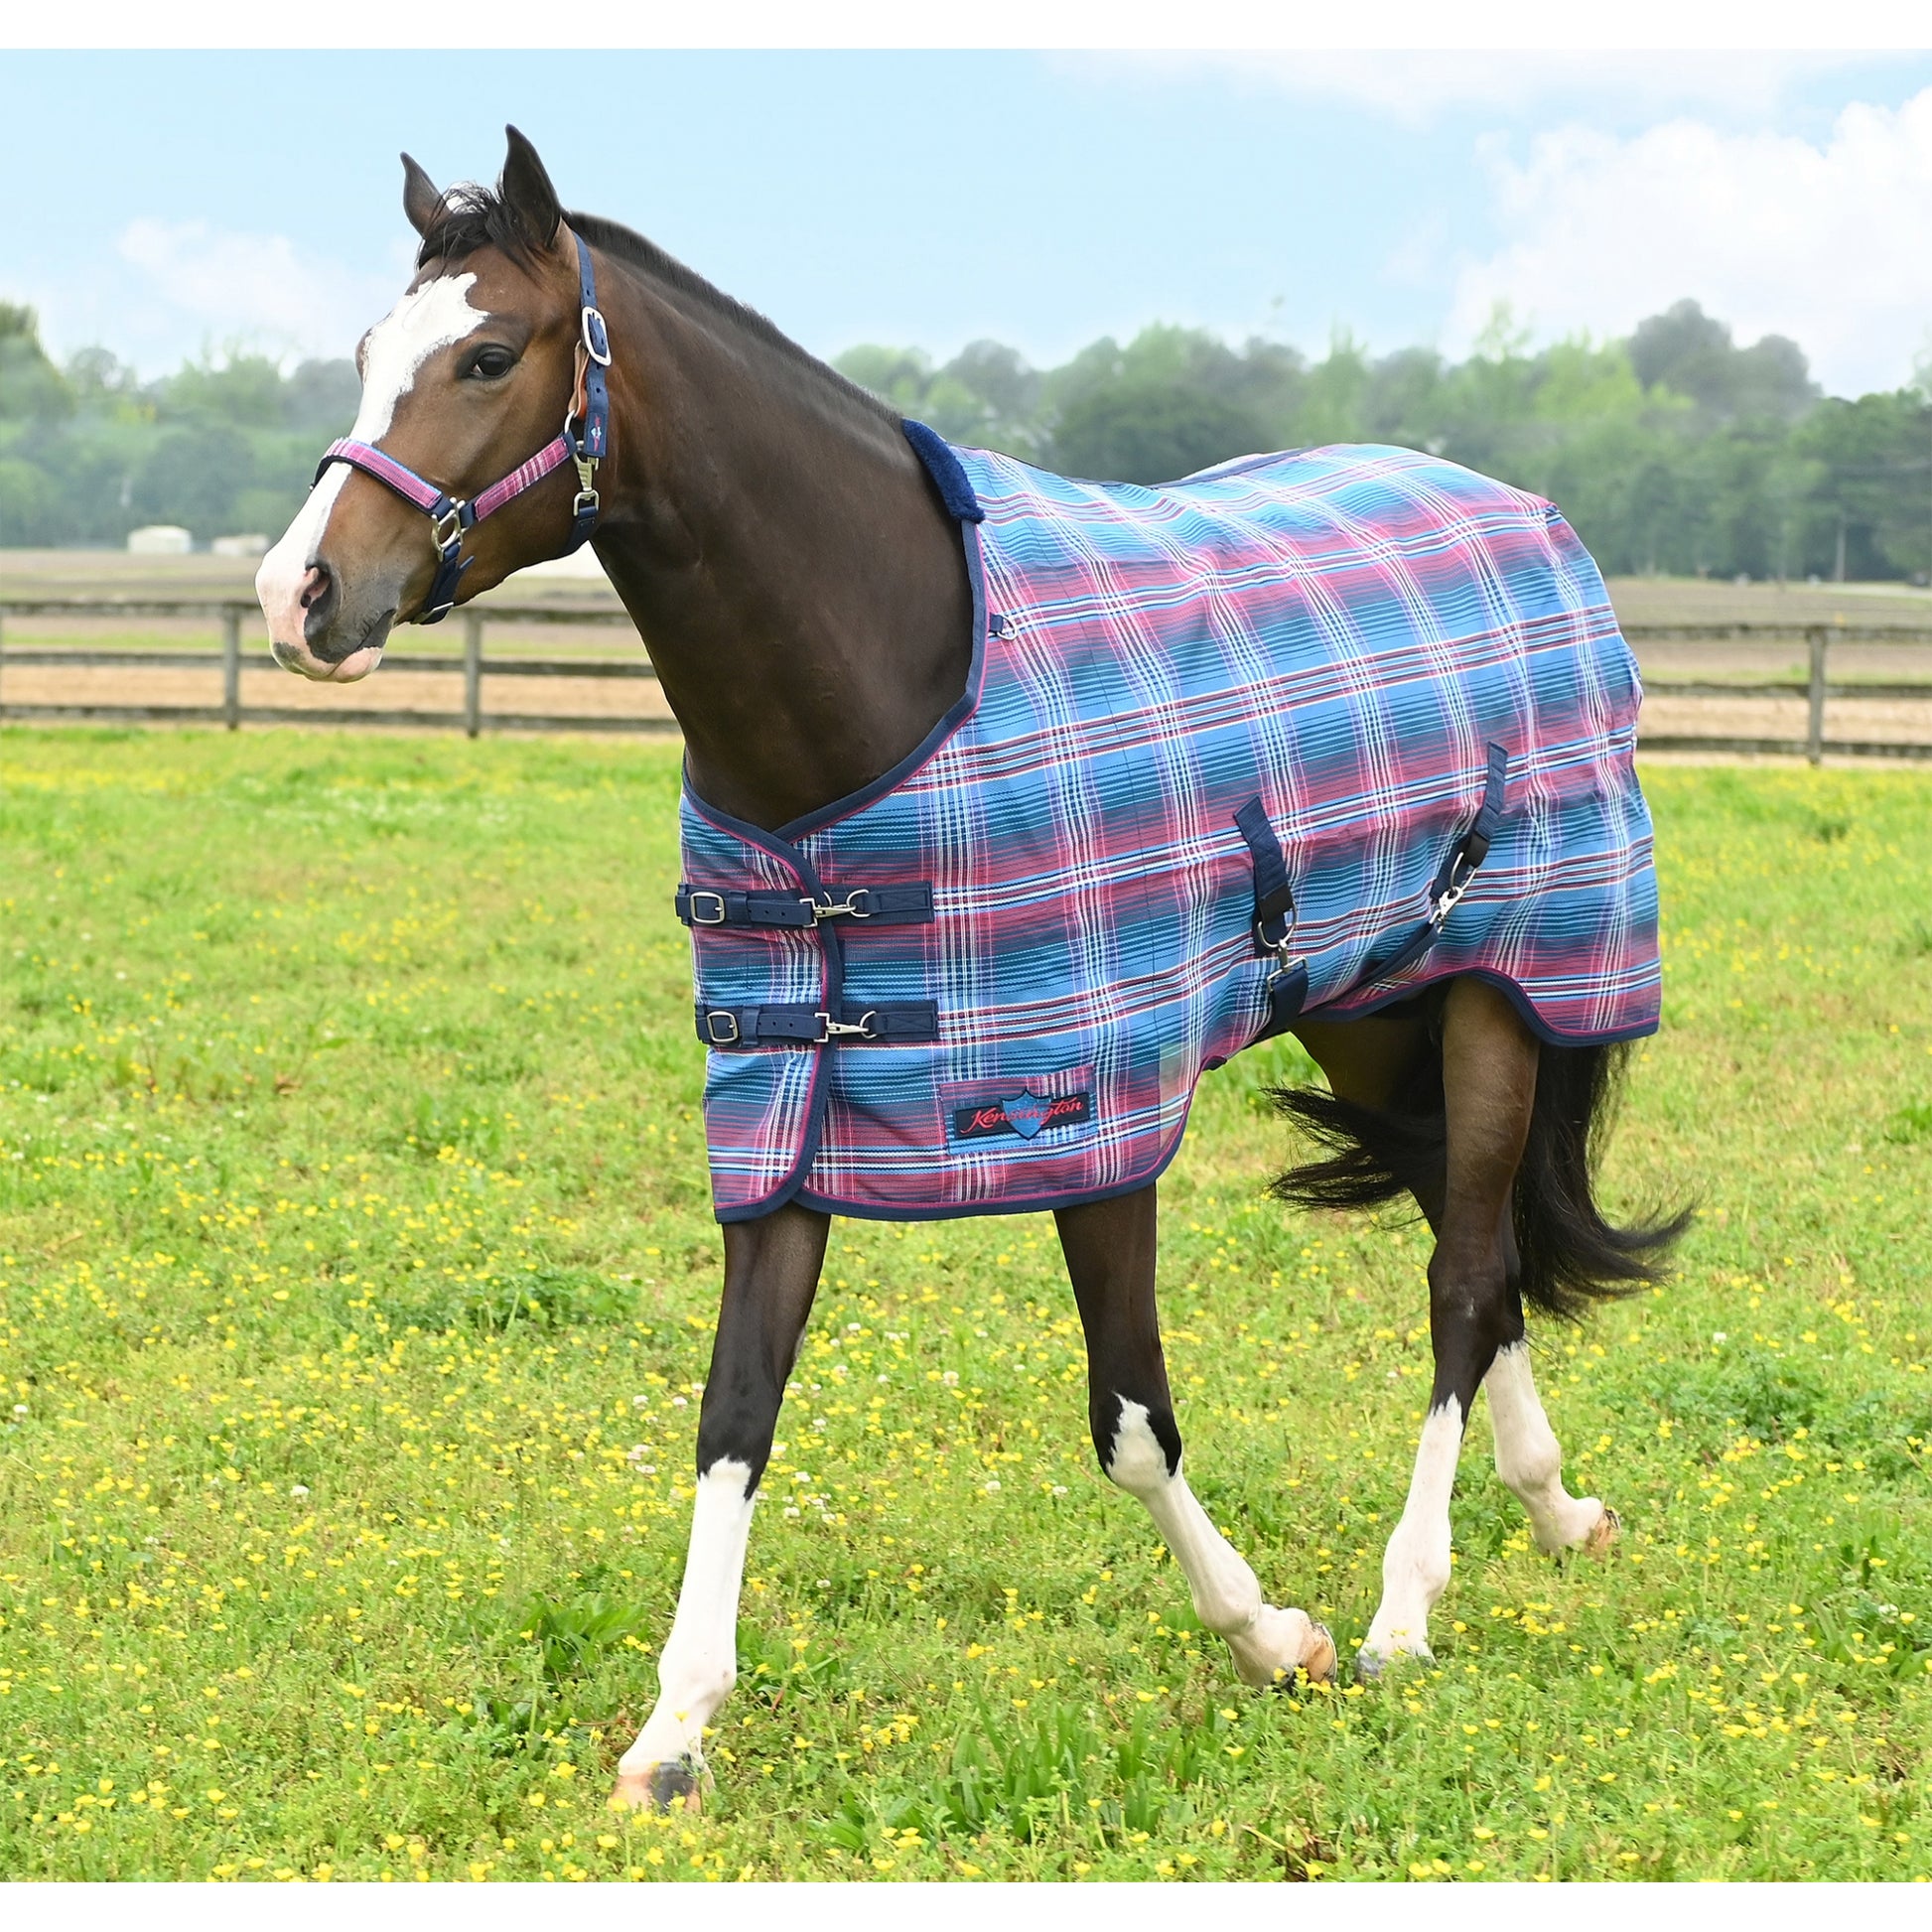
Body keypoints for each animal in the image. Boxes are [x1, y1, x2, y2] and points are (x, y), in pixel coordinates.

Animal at [256, 128, 1687, 1814]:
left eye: (487, 355)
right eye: (368, 352)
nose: (300, 594)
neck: (885, 686)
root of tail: (1529, 517)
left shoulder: (1088, 1107)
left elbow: (1130, 1417)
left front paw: (1274, 1635)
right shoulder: (787, 1097)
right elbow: (733, 1410)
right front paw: (674, 1730)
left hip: (1501, 983)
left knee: (1463, 1272)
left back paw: (1409, 1601)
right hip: (1367, 1006)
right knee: (1472, 1230)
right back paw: (1554, 1507)